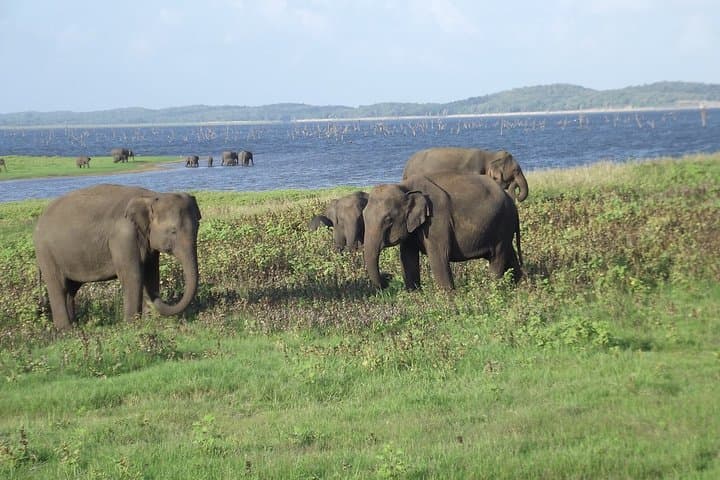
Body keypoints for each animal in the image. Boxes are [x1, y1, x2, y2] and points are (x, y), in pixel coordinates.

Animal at [33, 184, 202, 331]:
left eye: (198, 226)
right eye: (173, 231)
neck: (151, 197)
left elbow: (151, 274)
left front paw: (150, 321)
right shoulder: (123, 237)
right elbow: (133, 276)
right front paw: (131, 326)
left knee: (71, 289)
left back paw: (75, 326)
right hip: (46, 253)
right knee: (58, 286)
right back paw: (66, 331)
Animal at [363, 173, 522, 291]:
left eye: (388, 220)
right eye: (363, 216)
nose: (387, 280)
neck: (404, 187)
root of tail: (512, 202)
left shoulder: (436, 220)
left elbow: (438, 256)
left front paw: (448, 298)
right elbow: (407, 258)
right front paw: (414, 295)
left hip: (502, 224)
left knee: (497, 256)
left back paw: (495, 288)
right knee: (510, 254)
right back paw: (520, 285)